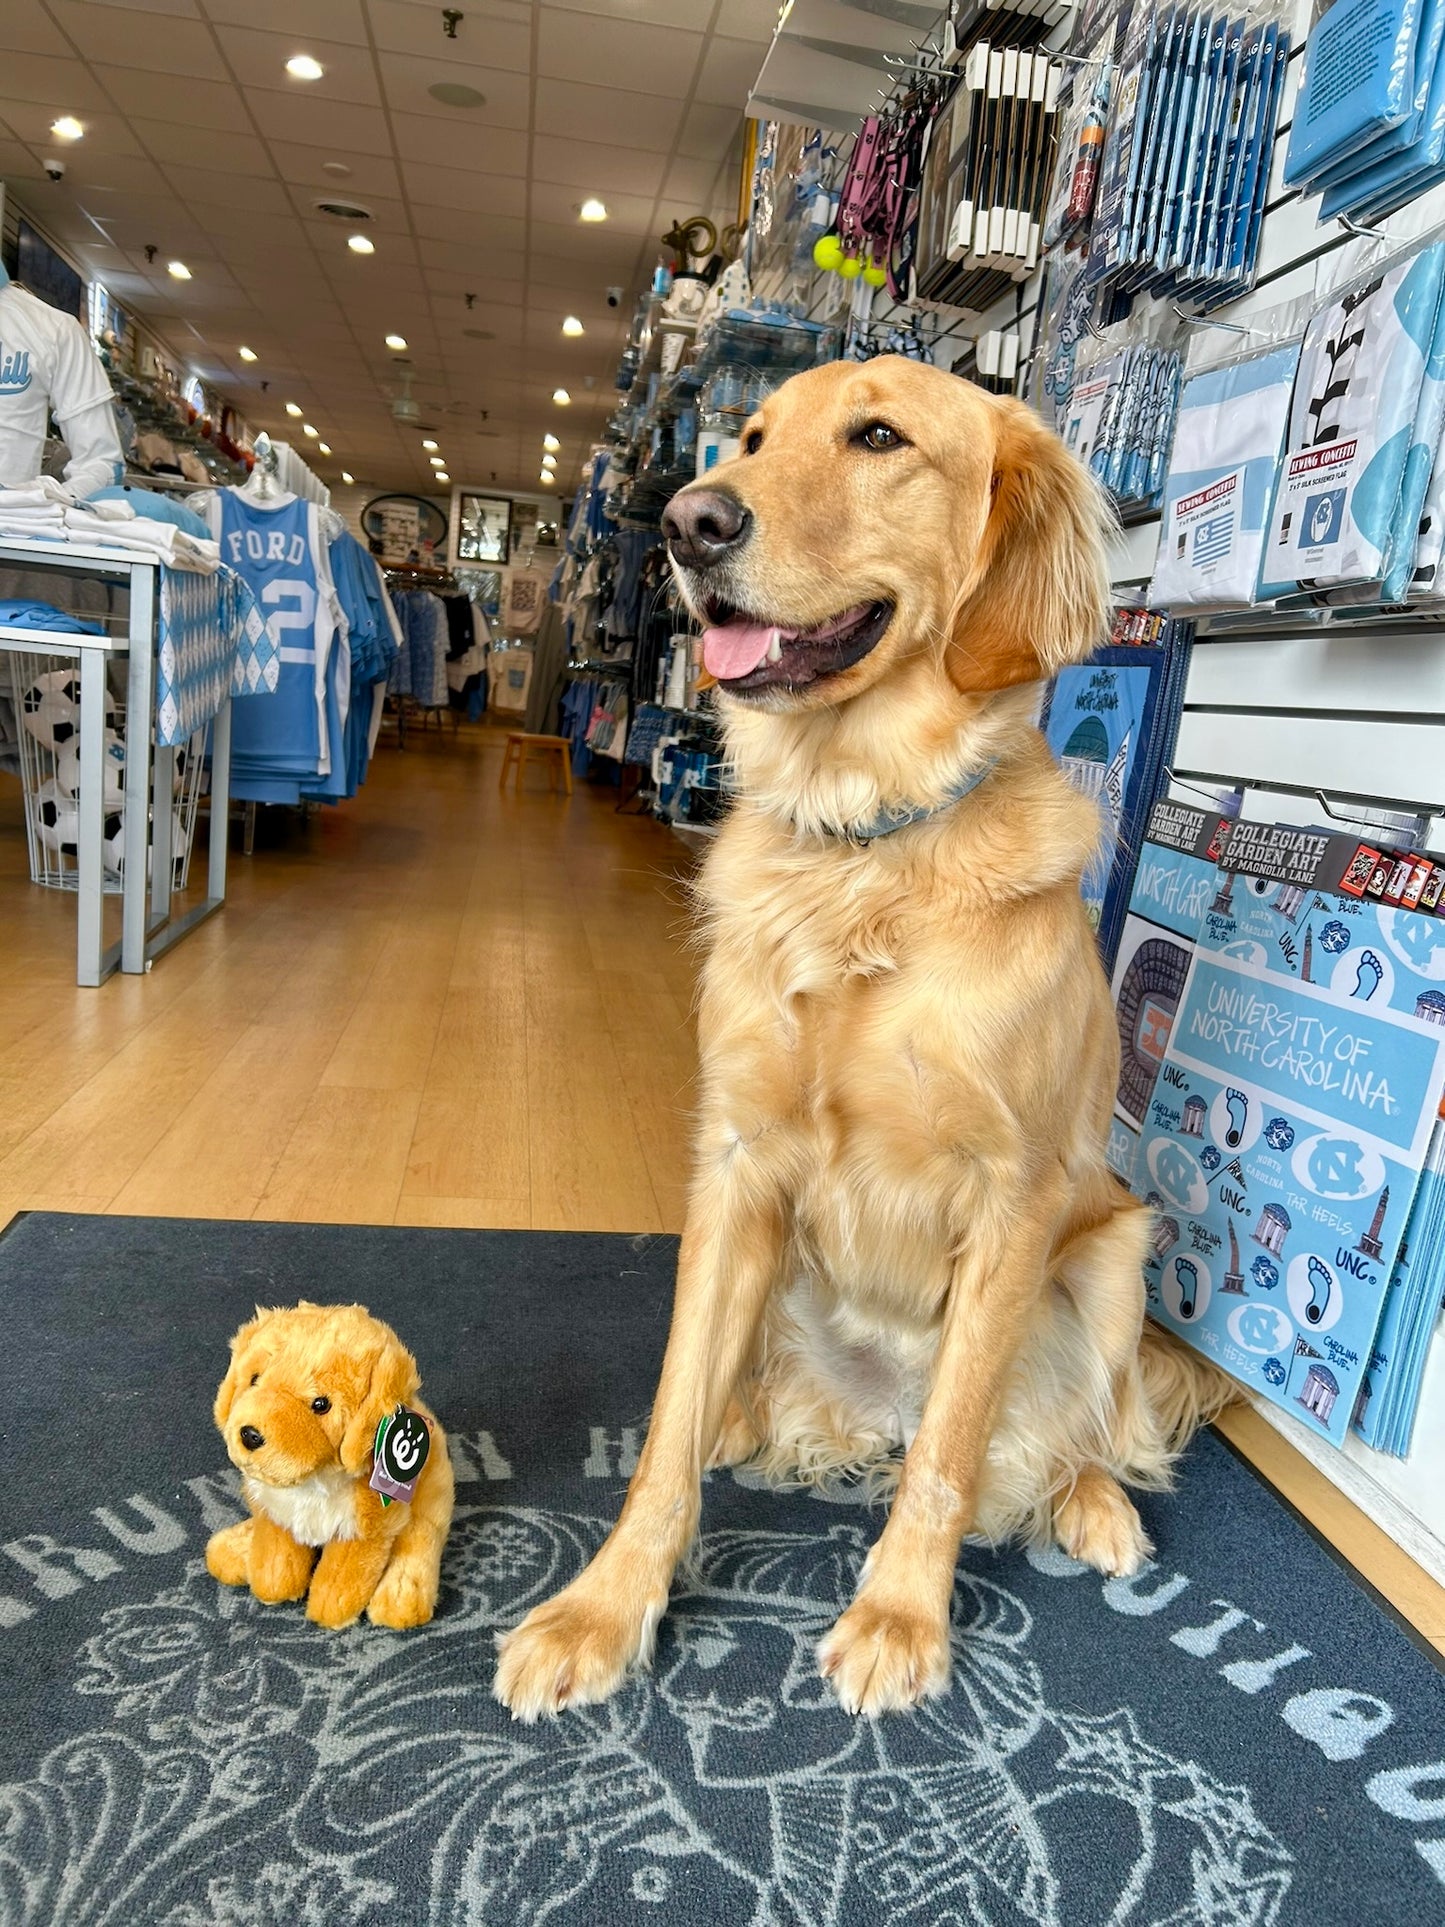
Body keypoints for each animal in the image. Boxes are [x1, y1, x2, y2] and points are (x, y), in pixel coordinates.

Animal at [204, 1302, 452, 1634]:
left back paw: (401, 1596)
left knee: (420, 1540)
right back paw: (233, 1548)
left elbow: (343, 1575)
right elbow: (276, 1551)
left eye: (321, 1405)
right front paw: (272, 1583)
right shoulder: (273, 1509)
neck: (313, 1482)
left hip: (427, 1502)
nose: (250, 1435)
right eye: (254, 1379)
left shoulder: (364, 1532)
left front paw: (332, 1610)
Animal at [497, 358, 1233, 1718]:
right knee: (751, 1392)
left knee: (1085, 1428)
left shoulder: (1012, 1196)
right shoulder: (736, 1163)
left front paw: (898, 1616)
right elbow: (667, 1425)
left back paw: (1093, 1504)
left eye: (879, 437)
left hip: (1112, 1253)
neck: (864, 845)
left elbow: (947, 1451)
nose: (685, 522)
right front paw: (605, 1607)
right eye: (748, 437)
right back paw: (750, 1417)